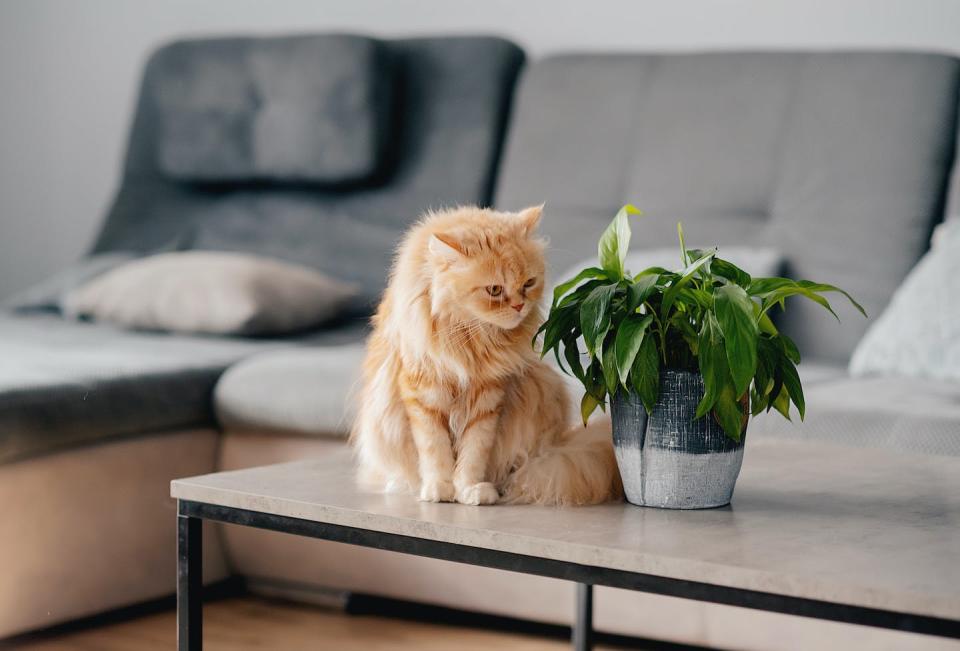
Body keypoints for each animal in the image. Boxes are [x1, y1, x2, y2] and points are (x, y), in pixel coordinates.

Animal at [350, 206, 624, 506]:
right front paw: (439, 489)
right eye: (495, 290)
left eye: (529, 283)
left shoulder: (488, 398)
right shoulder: (424, 394)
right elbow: (435, 449)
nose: (519, 306)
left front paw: (470, 490)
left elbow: (474, 452)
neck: (471, 339)